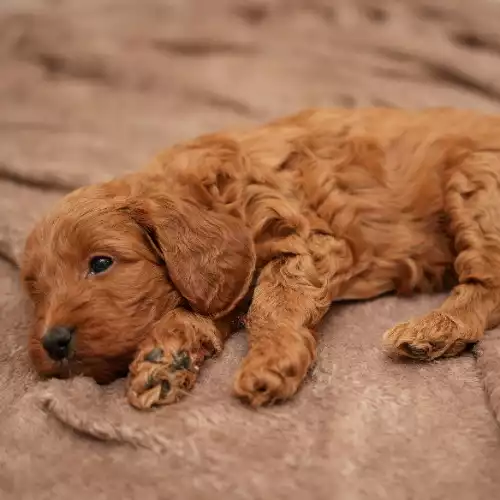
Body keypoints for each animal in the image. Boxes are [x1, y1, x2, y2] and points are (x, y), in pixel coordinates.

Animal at [19, 107, 500, 408]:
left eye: (100, 263)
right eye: (36, 291)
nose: (53, 342)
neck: (209, 194)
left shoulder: (310, 243)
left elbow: (272, 303)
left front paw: (271, 361)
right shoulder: (227, 281)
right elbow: (201, 310)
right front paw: (165, 361)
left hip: (477, 184)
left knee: (487, 285)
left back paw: (432, 330)